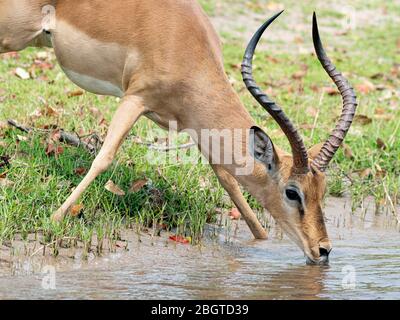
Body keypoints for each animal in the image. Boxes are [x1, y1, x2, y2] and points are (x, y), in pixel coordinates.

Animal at [0, 0, 356, 264]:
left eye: (322, 190)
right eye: (292, 192)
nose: (323, 250)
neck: (185, 44)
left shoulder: (195, 127)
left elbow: (229, 182)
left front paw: (261, 240)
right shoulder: (135, 98)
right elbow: (104, 157)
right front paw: (55, 218)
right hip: (11, 36)